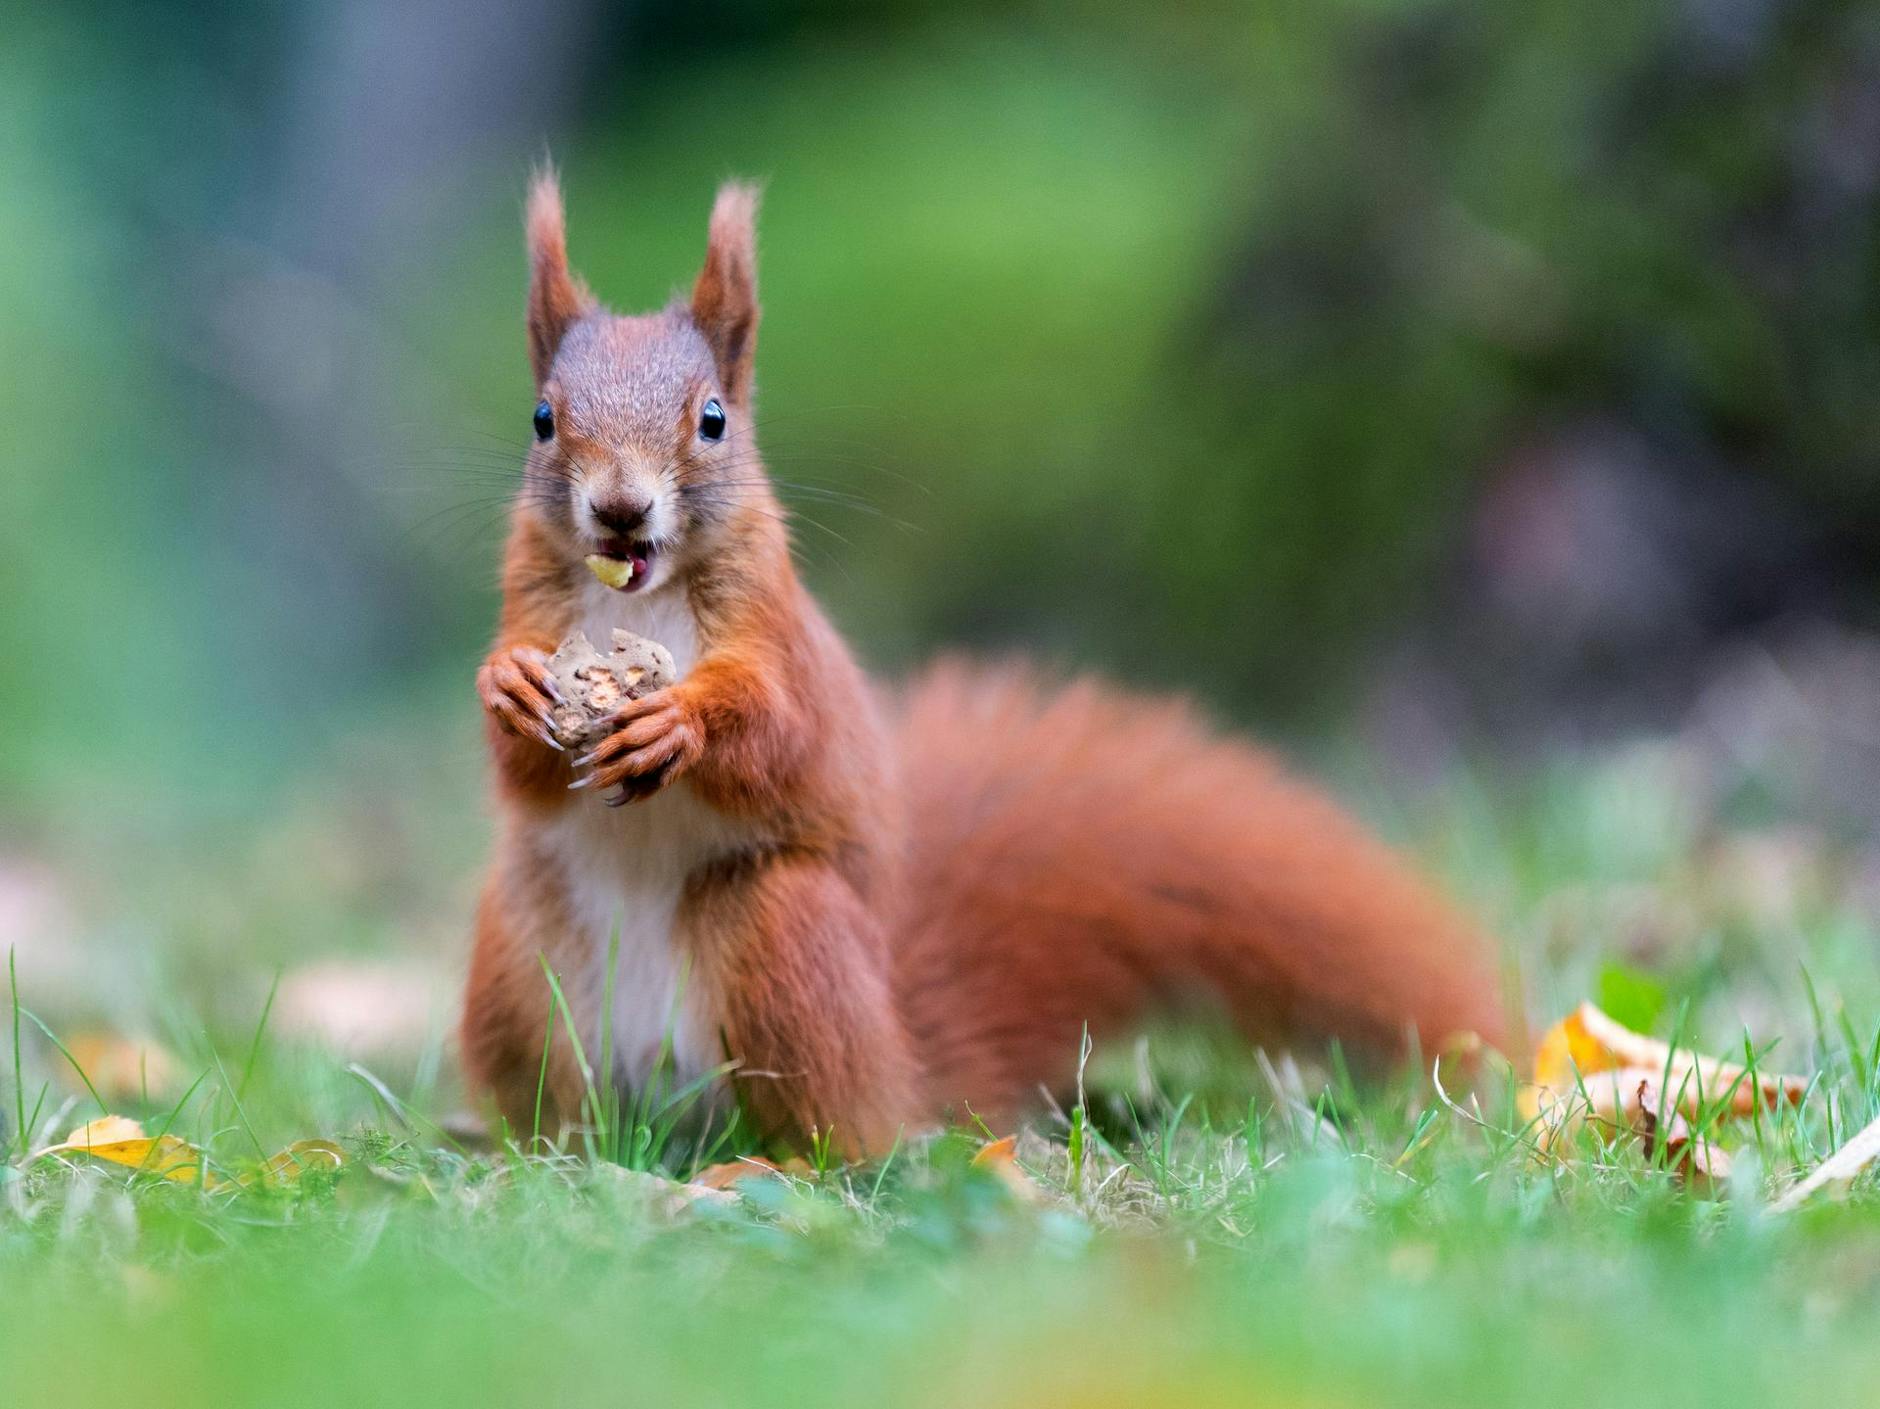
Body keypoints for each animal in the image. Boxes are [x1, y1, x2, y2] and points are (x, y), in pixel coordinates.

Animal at [462, 172, 1511, 1157]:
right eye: (543, 418)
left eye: (714, 418)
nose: (620, 510)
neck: (638, 597)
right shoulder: (534, 603)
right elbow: (523, 770)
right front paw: (507, 686)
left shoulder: (785, 639)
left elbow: (784, 729)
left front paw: (678, 722)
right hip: (517, 960)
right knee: (560, 1103)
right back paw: (549, 1153)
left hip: (781, 937)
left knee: (837, 1128)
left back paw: (796, 1159)